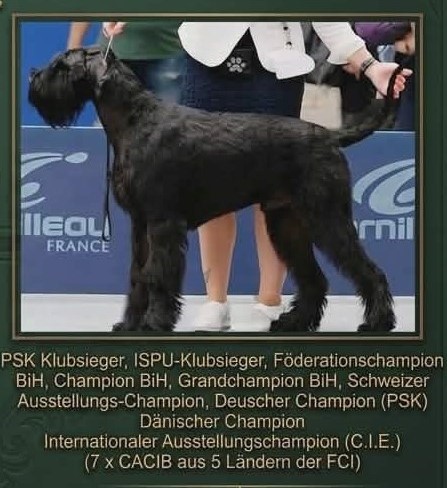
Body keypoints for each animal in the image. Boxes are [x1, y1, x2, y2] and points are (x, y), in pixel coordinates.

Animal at [28, 47, 401, 334]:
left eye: (62, 66)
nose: (33, 77)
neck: (135, 119)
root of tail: (330, 135)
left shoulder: (163, 222)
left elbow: (158, 274)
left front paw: (154, 323)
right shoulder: (140, 223)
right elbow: (138, 275)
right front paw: (129, 324)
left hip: (327, 218)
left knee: (368, 270)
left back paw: (377, 322)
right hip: (287, 223)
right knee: (314, 279)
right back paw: (293, 322)